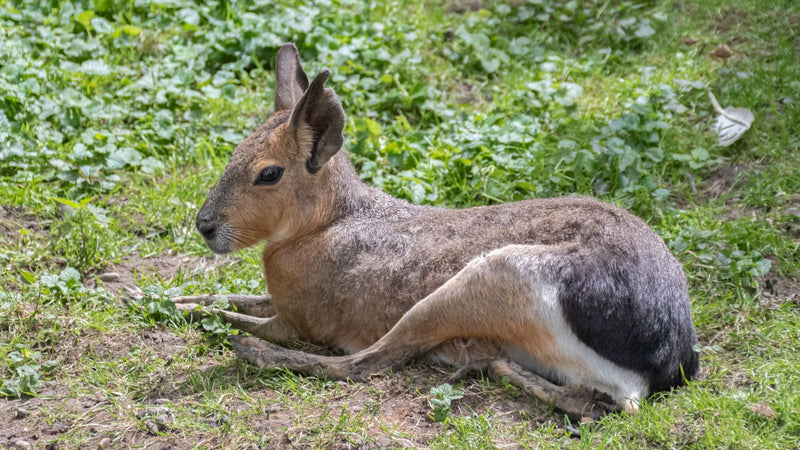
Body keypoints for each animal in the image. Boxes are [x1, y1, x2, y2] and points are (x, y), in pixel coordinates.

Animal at [172, 43, 699, 420]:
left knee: (361, 364)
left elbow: (242, 314)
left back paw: (252, 351)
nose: (205, 226)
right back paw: (499, 365)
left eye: (268, 174)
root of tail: (668, 354)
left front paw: (206, 318)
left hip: (485, 278)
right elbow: (225, 295)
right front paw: (168, 300)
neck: (329, 224)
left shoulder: (296, 320)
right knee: (589, 400)